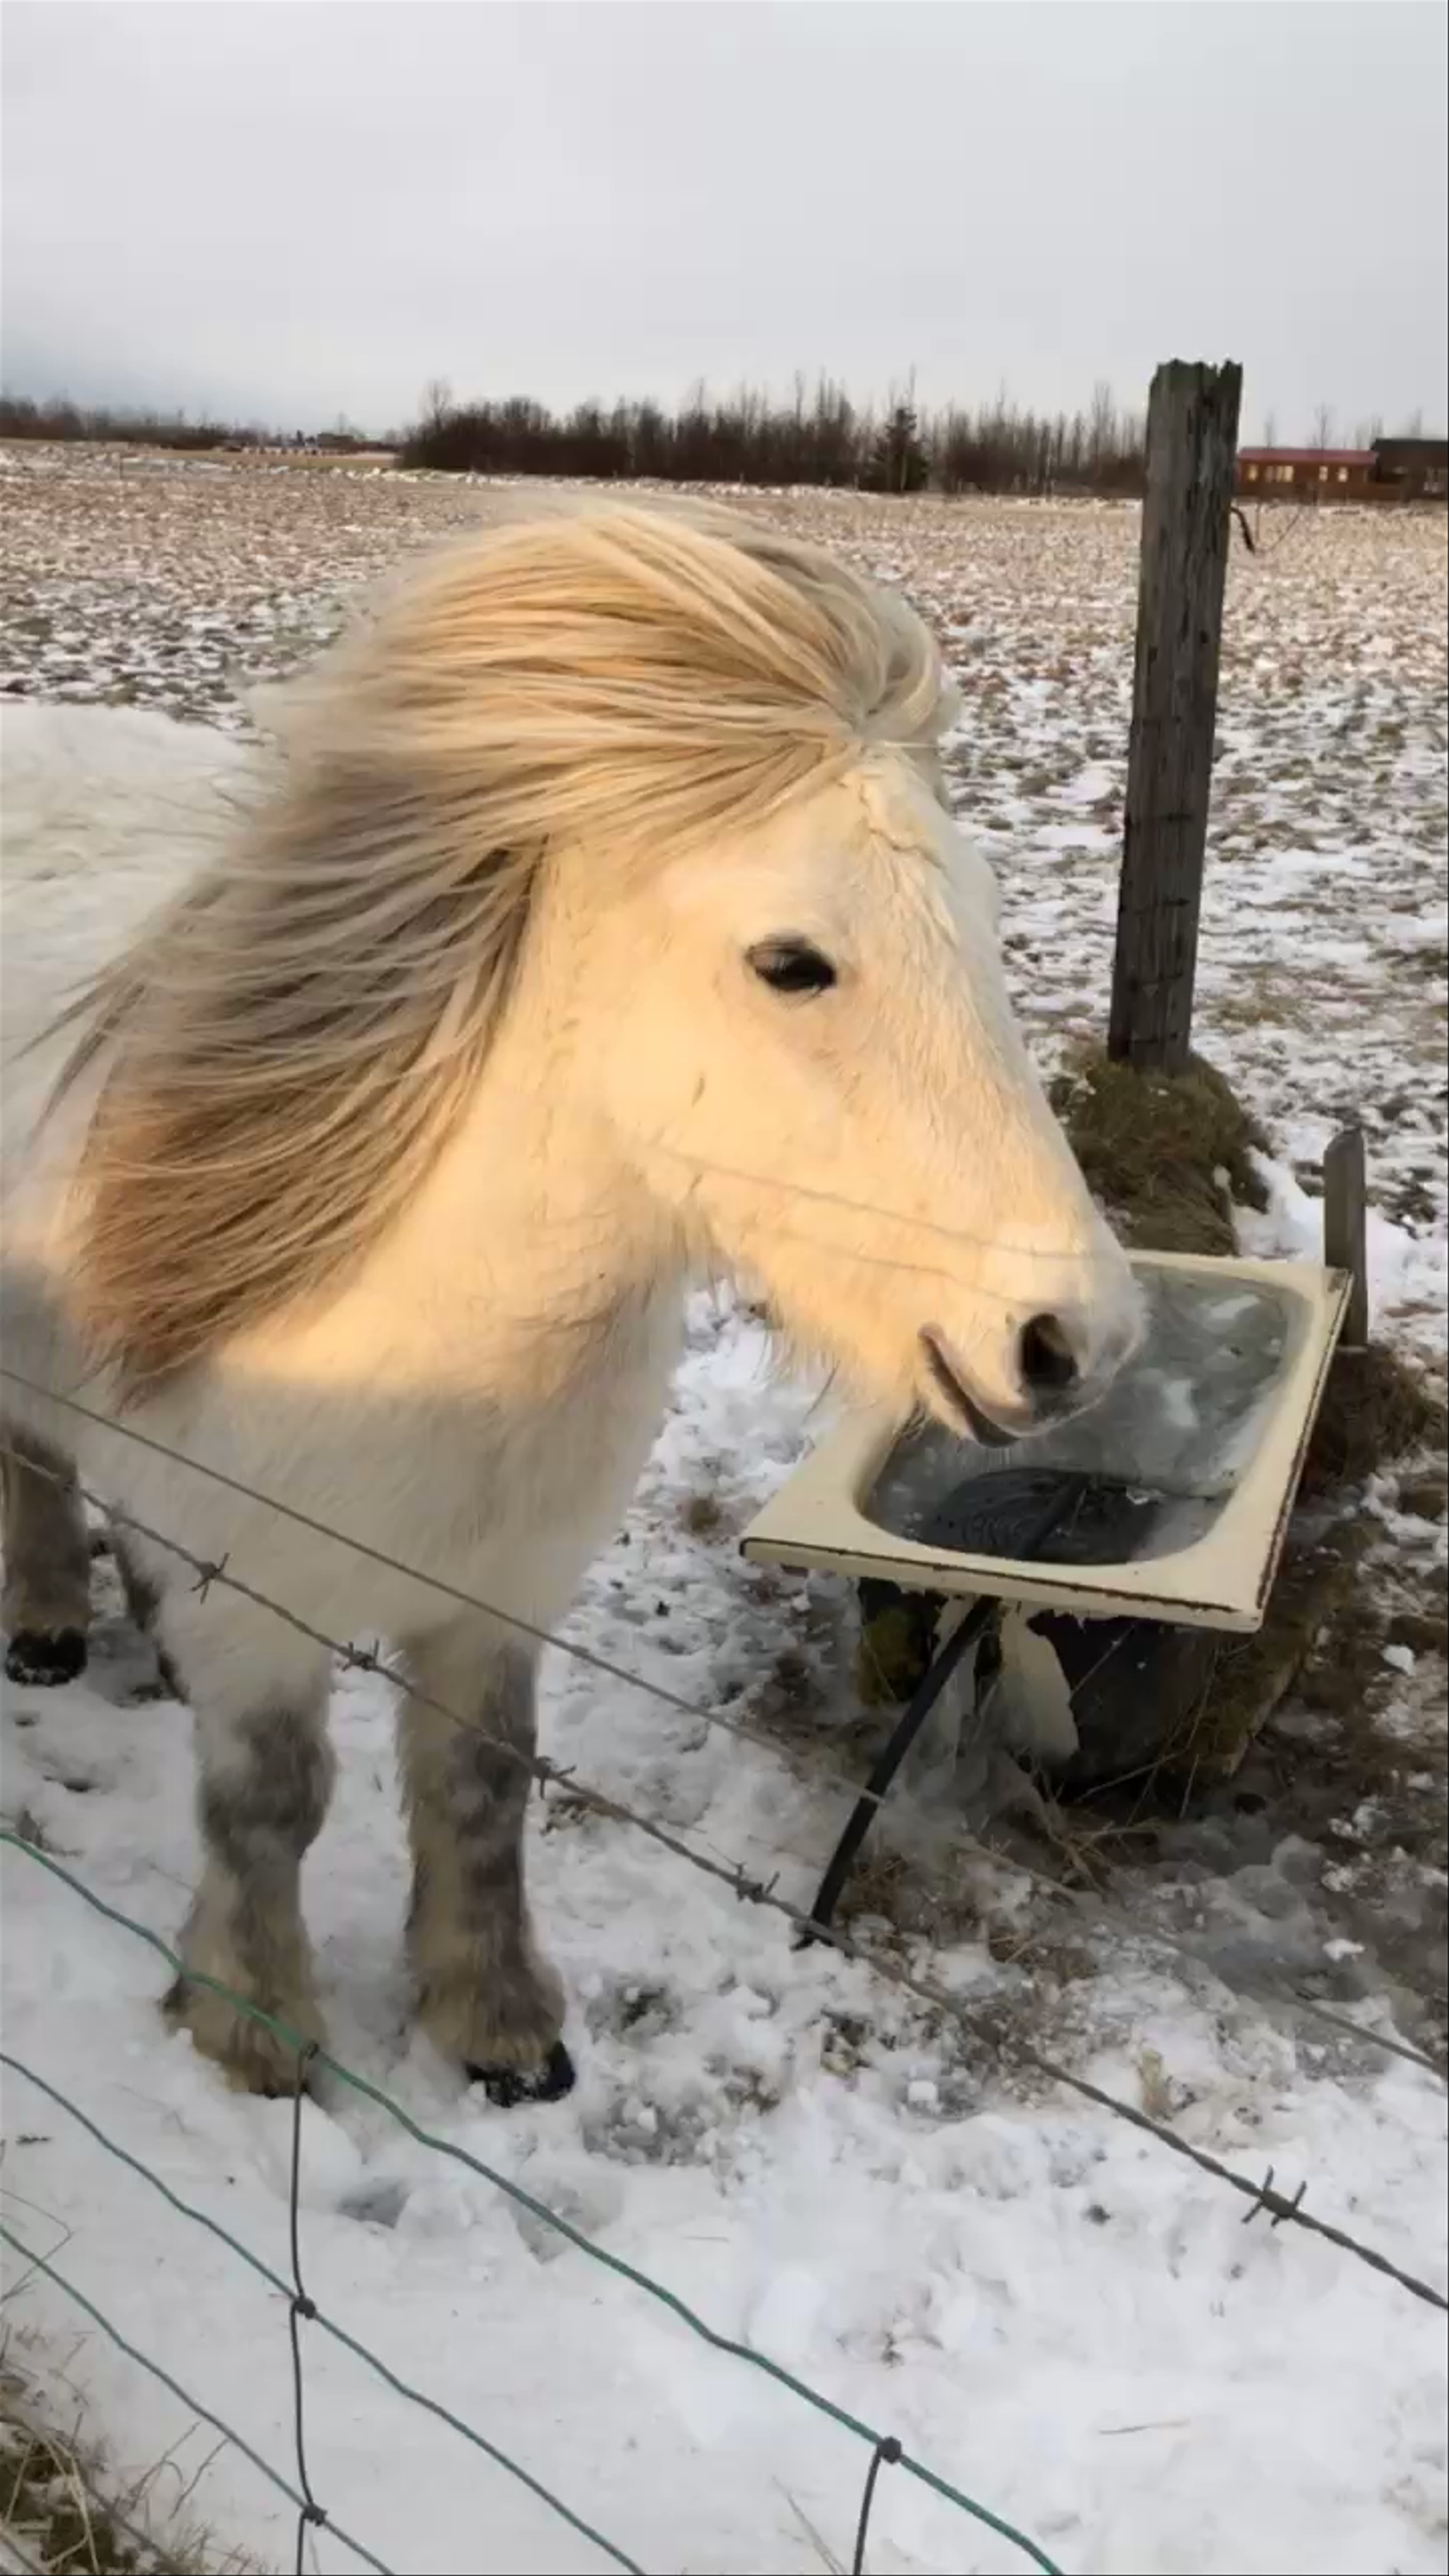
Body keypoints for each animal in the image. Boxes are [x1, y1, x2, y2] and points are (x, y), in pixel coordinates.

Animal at [0, 503, 1141, 2102]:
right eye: (793, 961)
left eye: (981, 922)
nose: (1076, 1340)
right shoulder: (262, 1598)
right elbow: (273, 1802)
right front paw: (256, 2023)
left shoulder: (497, 1596)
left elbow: (479, 1785)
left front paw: (498, 2027)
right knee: (31, 1454)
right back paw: (45, 1620)